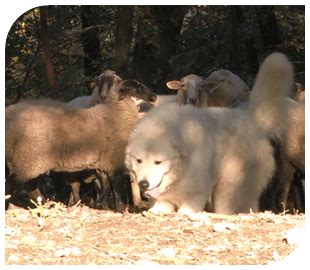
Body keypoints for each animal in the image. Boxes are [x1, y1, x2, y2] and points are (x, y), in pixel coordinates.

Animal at [125, 52, 294, 215]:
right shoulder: (162, 199)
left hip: (229, 187)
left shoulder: (196, 193)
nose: (144, 184)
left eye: (158, 162)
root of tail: (254, 122)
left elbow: (187, 209)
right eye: (139, 160)